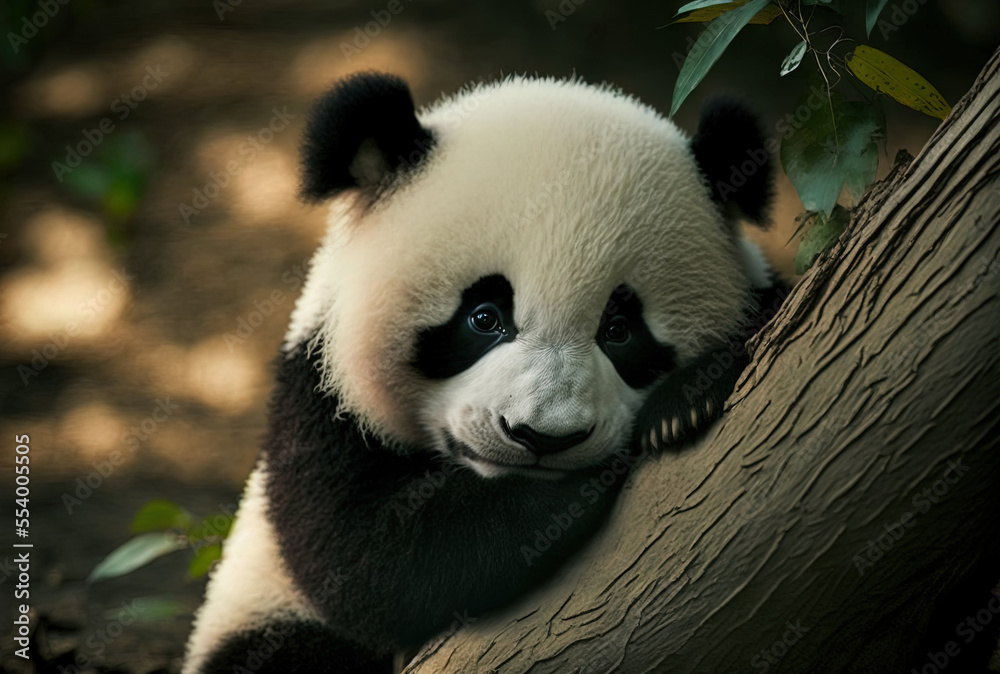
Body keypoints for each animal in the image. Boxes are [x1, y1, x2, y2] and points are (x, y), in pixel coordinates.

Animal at [182, 72, 785, 674]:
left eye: (619, 330)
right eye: (485, 317)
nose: (542, 436)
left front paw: (684, 401)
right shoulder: (319, 400)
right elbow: (369, 556)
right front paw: (587, 485)